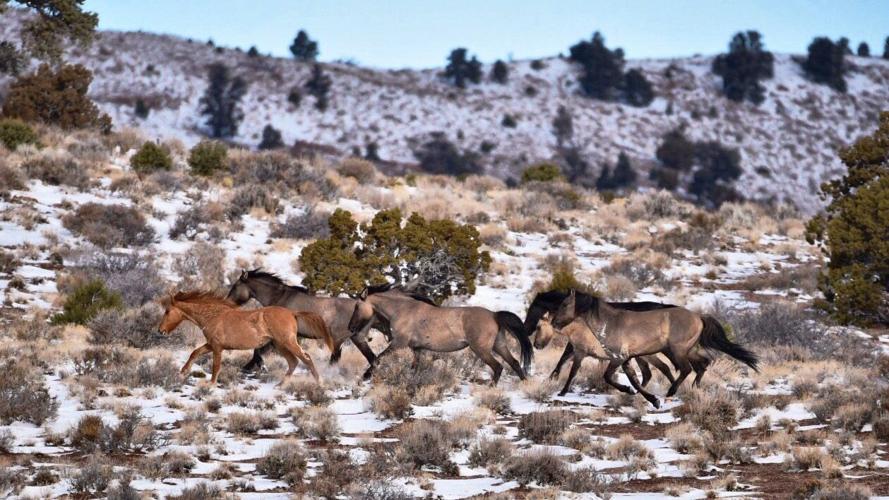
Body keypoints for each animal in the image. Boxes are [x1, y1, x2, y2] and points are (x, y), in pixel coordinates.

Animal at [158, 291, 334, 384]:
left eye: (167, 311)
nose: (161, 331)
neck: (213, 316)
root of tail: (292, 313)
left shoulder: (217, 347)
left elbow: (215, 366)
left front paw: (211, 384)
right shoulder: (211, 344)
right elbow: (194, 353)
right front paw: (183, 371)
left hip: (288, 342)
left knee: (306, 358)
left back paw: (319, 383)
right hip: (280, 345)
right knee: (294, 362)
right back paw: (280, 385)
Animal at [226, 270, 380, 373]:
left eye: (235, 286)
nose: (227, 302)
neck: (281, 298)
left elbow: (258, 350)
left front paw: (257, 366)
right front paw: (249, 367)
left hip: (342, 339)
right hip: (352, 339)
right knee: (369, 359)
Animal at [347, 285, 532, 385]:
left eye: (356, 306)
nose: (351, 327)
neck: (402, 310)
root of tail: (494, 315)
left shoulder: (398, 343)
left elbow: (378, 357)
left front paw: (365, 376)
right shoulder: (417, 349)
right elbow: (415, 368)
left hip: (482, 350)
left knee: (498, 367)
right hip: (499, 345)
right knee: (515, 363)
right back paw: (525, 385)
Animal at [551, 289, 758, 408]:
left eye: (565, 304)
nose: (554, 323)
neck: (610, 323)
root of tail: (698, 316)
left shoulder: (617, 358)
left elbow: (608, 377)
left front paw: (639, 395)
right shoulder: (626, 360)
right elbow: (636, 381)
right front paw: (650, 399)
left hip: (676, 351)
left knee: (686, 369)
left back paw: (671, 393)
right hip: (686, 350)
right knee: (701, 365)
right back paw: (693, 389)